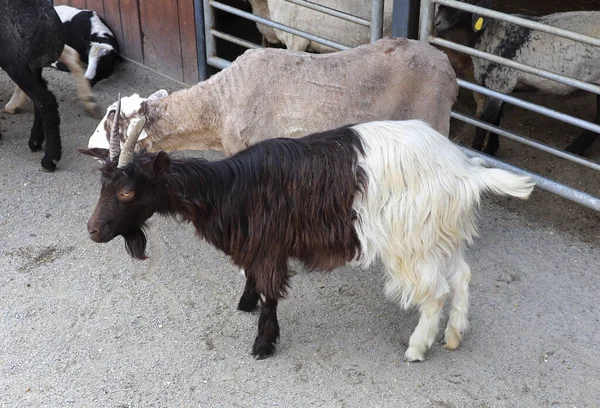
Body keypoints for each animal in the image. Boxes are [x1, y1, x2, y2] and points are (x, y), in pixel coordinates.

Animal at [0, 0, 97, 171]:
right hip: (29, 63)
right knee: (40, 97)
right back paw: (35, 141)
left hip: (13, 60)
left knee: (46, 100)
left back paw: (50, 159)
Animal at [79, 106, 536, 360]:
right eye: (101, 185)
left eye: (126, 190)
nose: (93, 230)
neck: (232, 188)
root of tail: (463, 171)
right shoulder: (257, 245)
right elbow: (251, 280)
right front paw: (244, 304)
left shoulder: (268, 246)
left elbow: (269, 294)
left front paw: (263, 345)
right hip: (441, 233)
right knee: (462, 277)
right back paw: (455, 336)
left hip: (411, 242)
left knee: (436, 292)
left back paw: (416, 348)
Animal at [434, 0, 600, 156]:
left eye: (467, 1)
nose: (436, 22)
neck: (489, 35)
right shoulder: (502, 89)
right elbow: (496, 121)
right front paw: (491, 149)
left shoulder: (499, 83)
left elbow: (485, 122)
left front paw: (477, 151)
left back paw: (575, 148)